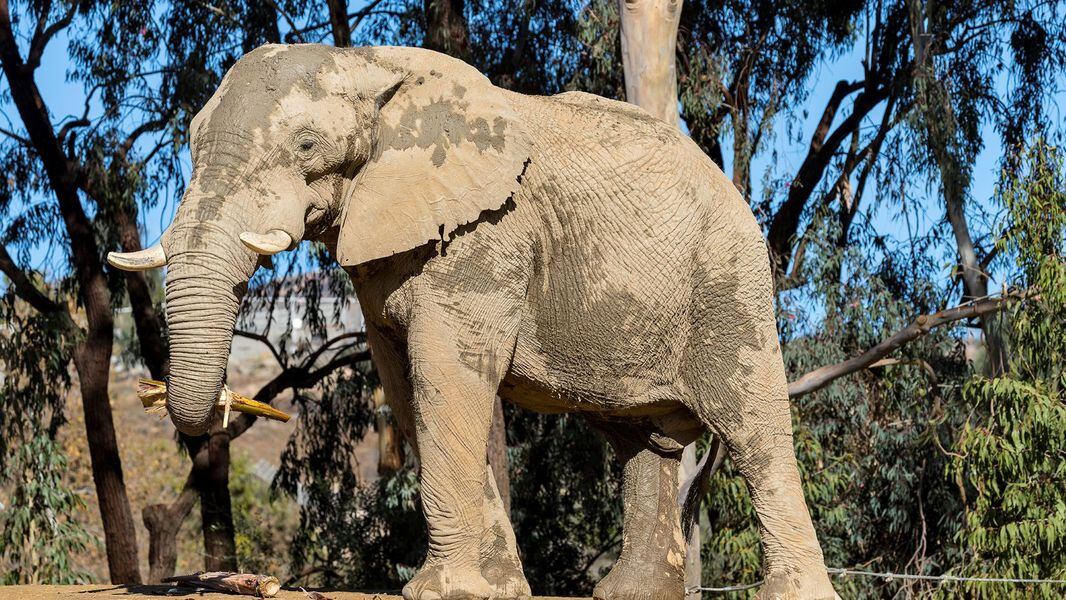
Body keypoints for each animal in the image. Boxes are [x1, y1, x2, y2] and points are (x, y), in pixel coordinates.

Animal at [110, 43, 840, 600]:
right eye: (191, 144)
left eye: (308, 144)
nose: (228, 409)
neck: (367, 64)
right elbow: (406, 382)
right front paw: (496, 589)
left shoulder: (487, 234)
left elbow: (445, 374)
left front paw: (445, 592)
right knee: (641, 442)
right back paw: (627, 594)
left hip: (729, 281)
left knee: (753, 428)